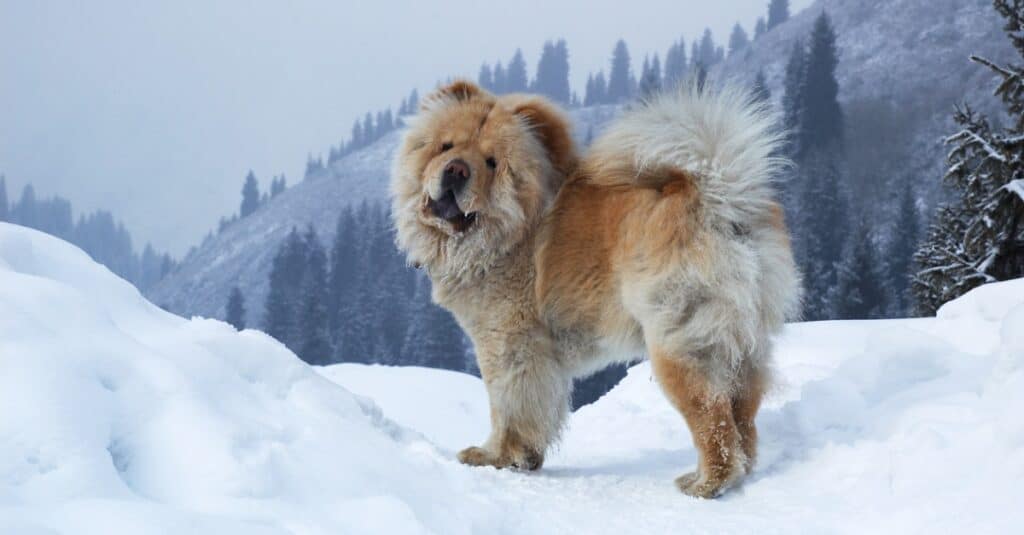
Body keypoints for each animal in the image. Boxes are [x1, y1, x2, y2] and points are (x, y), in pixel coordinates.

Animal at [389, 78, 798, 496]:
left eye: (491, 162)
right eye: (446, 146)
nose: (456, 170)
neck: (509, 231)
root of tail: (720, 198)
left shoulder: (506, 344)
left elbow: (506, 407)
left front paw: (494, 457)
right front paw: (524, 458)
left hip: (678, 344)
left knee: (713, 418)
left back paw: (704, 484)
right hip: (744, 346)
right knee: (742, 419)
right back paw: (739, 473)